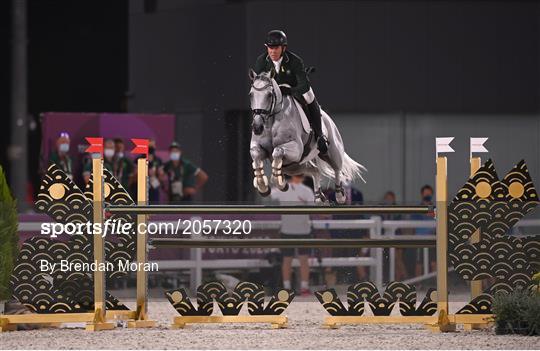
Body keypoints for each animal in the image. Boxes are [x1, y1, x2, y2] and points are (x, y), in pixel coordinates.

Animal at [250, 69, 368, 204]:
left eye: (269, 95)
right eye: (251, 95)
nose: (257, 127)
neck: (272, 120)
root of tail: (328, 119)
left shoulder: (296, 149)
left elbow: (277, 151)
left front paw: (279, 182)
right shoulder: (259, 147)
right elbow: (256, 155)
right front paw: (263, 186)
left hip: (331, 152)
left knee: (337, 168)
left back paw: (340, 195)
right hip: (294, 166)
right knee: (314, 170)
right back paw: (318, 197)